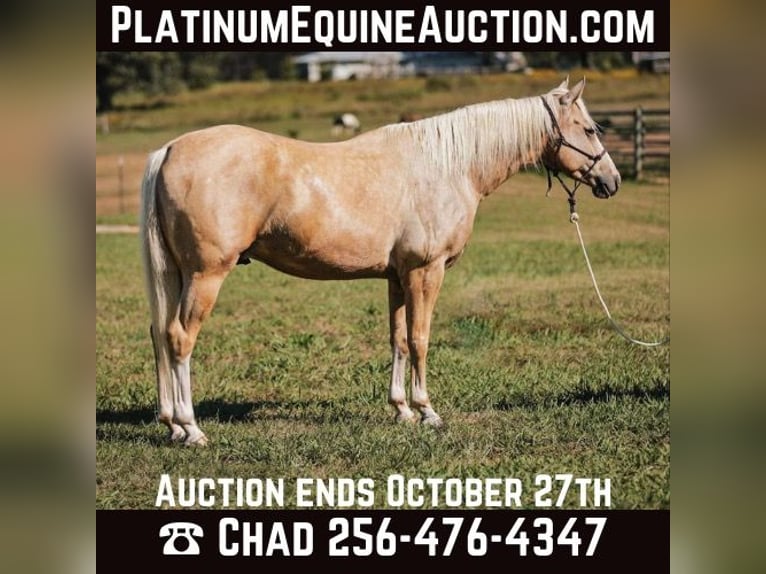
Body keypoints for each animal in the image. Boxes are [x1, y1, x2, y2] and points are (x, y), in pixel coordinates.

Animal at [140, 78, 620, 445]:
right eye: (589, 129)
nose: (611, 181)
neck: (449, 166)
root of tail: (169, 149)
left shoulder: (398, 276)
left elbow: (399, 340)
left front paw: (401, 410)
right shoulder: (426, 271)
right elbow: (422, 339)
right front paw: (428, 412)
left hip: (178, 274)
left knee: (160, 334)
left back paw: (171, 425)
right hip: (206, 274)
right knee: (180, 338)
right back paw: (191, 428)